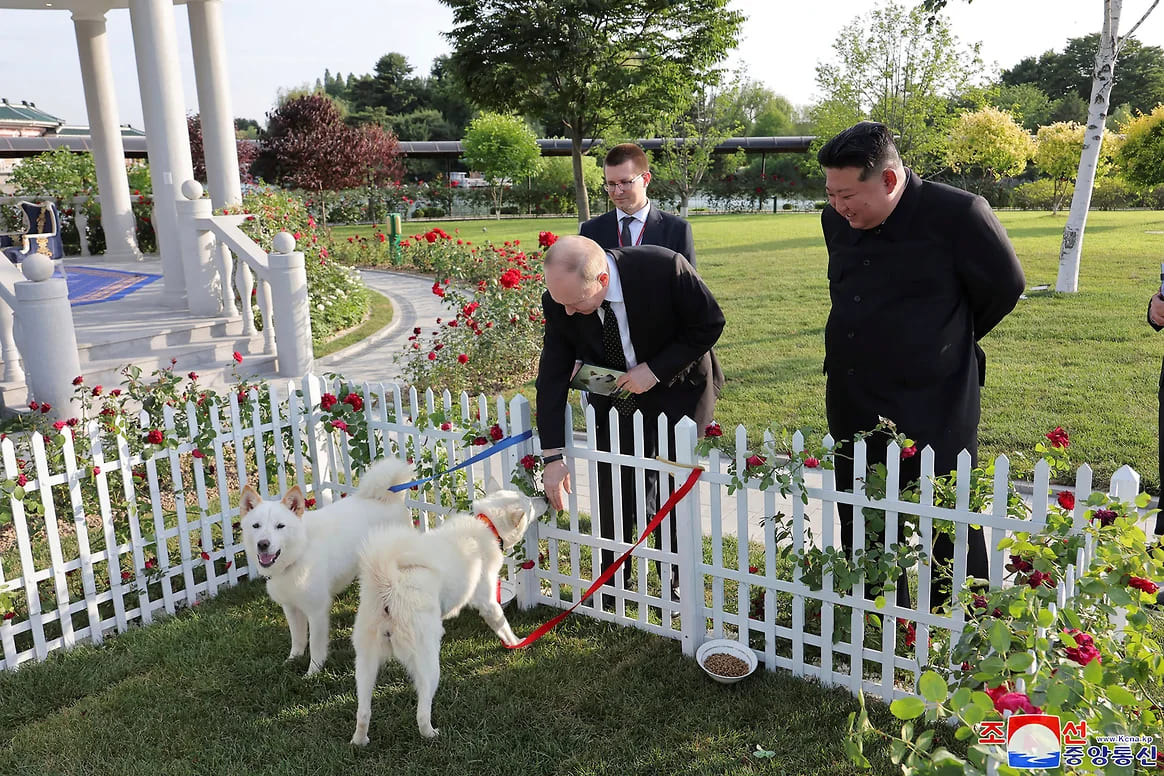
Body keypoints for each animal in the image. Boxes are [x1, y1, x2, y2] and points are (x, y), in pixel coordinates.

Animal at [238, 458, 412, 674]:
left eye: (280, 526)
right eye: (256, 526)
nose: (263, 544)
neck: (300, 552)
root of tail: (389, 497)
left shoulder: (317, 611)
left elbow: (315, 645)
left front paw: (313, 672)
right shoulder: (291, 608)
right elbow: (298, 639)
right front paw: (292, 660)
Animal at [346, 486, 547, 744]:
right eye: (530, 504)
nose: (544, 497)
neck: (487, 524)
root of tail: (388, 584)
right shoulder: (487, 601)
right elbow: (502, 624)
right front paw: (517, 643)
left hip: (365, 663)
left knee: (363, 711)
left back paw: (360, 741)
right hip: (429, 664)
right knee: (421, 712)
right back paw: (431, 734)